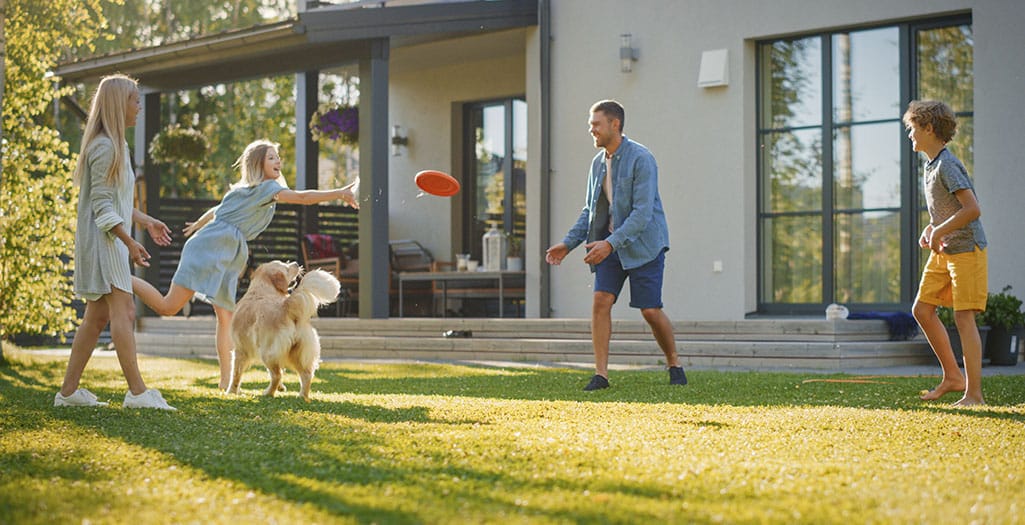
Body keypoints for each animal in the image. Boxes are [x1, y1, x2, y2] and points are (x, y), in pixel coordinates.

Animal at [226, 259, 338, 401]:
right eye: (286, 266)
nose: (296, 263)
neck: (263, 289)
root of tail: (286, 306)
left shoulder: (240, 350)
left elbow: (235, 374)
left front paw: (231, 391)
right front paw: (281, 388)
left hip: (267, 353)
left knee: (276, 375)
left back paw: (268, 393)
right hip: (297, 353)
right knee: (306, 375)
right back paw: (302, 396)